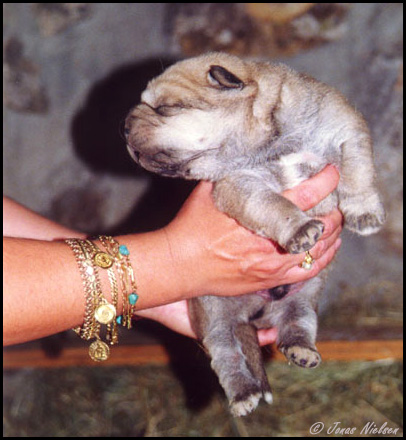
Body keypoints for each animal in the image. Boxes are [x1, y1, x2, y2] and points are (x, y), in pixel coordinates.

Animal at [125, 51, 386, 416]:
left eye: (166, 108)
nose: (123, 126)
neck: (272, 142)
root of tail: (256, 311)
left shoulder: (346, 129)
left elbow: (358, 170)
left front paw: (364, 212)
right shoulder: (242, 184)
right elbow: (273, 205)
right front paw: (300, 228)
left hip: (305, 294)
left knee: (297, 321)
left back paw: (302, 350)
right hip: (215, 315)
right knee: (227, 355)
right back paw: (244, 394)